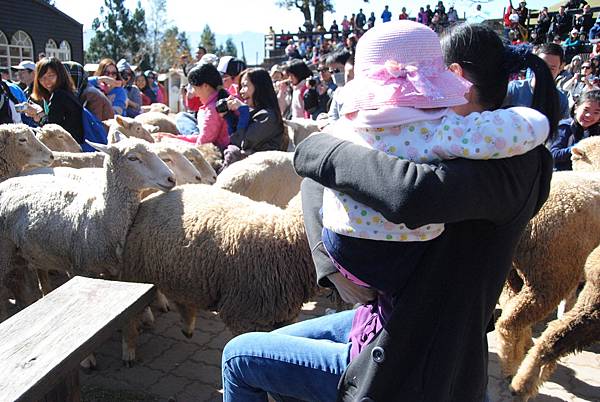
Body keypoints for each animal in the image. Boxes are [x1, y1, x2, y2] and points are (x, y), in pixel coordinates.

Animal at [0, 137, 176, 322]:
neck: (98, 217)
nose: (171, 178)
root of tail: (7, 182)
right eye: (132, 158)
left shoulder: (114, 272)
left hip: (28, 251)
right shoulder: (82, 270)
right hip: (4, 254)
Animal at [122, 185, 318, 364]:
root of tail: (150, 198)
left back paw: (187, 327)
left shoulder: (284, 317)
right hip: (135, 271)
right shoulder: (245, 316)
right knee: (130, 315)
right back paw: (129, 350)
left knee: (181, 298)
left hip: (180, 272)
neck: (285, 235)